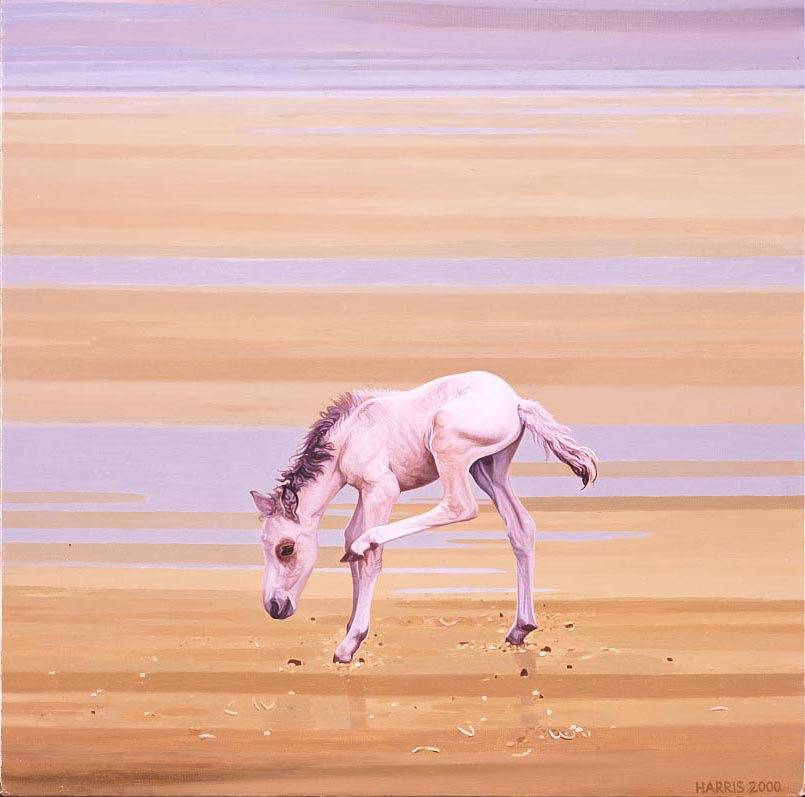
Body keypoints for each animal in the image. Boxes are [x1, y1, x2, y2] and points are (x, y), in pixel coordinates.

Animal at [250, 371, 598, 663]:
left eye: (286, 548)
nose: (274, 607)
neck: (349, 436)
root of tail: (516, 402)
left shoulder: (383, 488)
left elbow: (368, 557)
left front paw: (350, 643)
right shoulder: (365, 491)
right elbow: (349, 538)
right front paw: (350, 625)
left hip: (451, 449)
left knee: (460, 506)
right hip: (488, 468)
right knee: (521, 527)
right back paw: (520, 628)